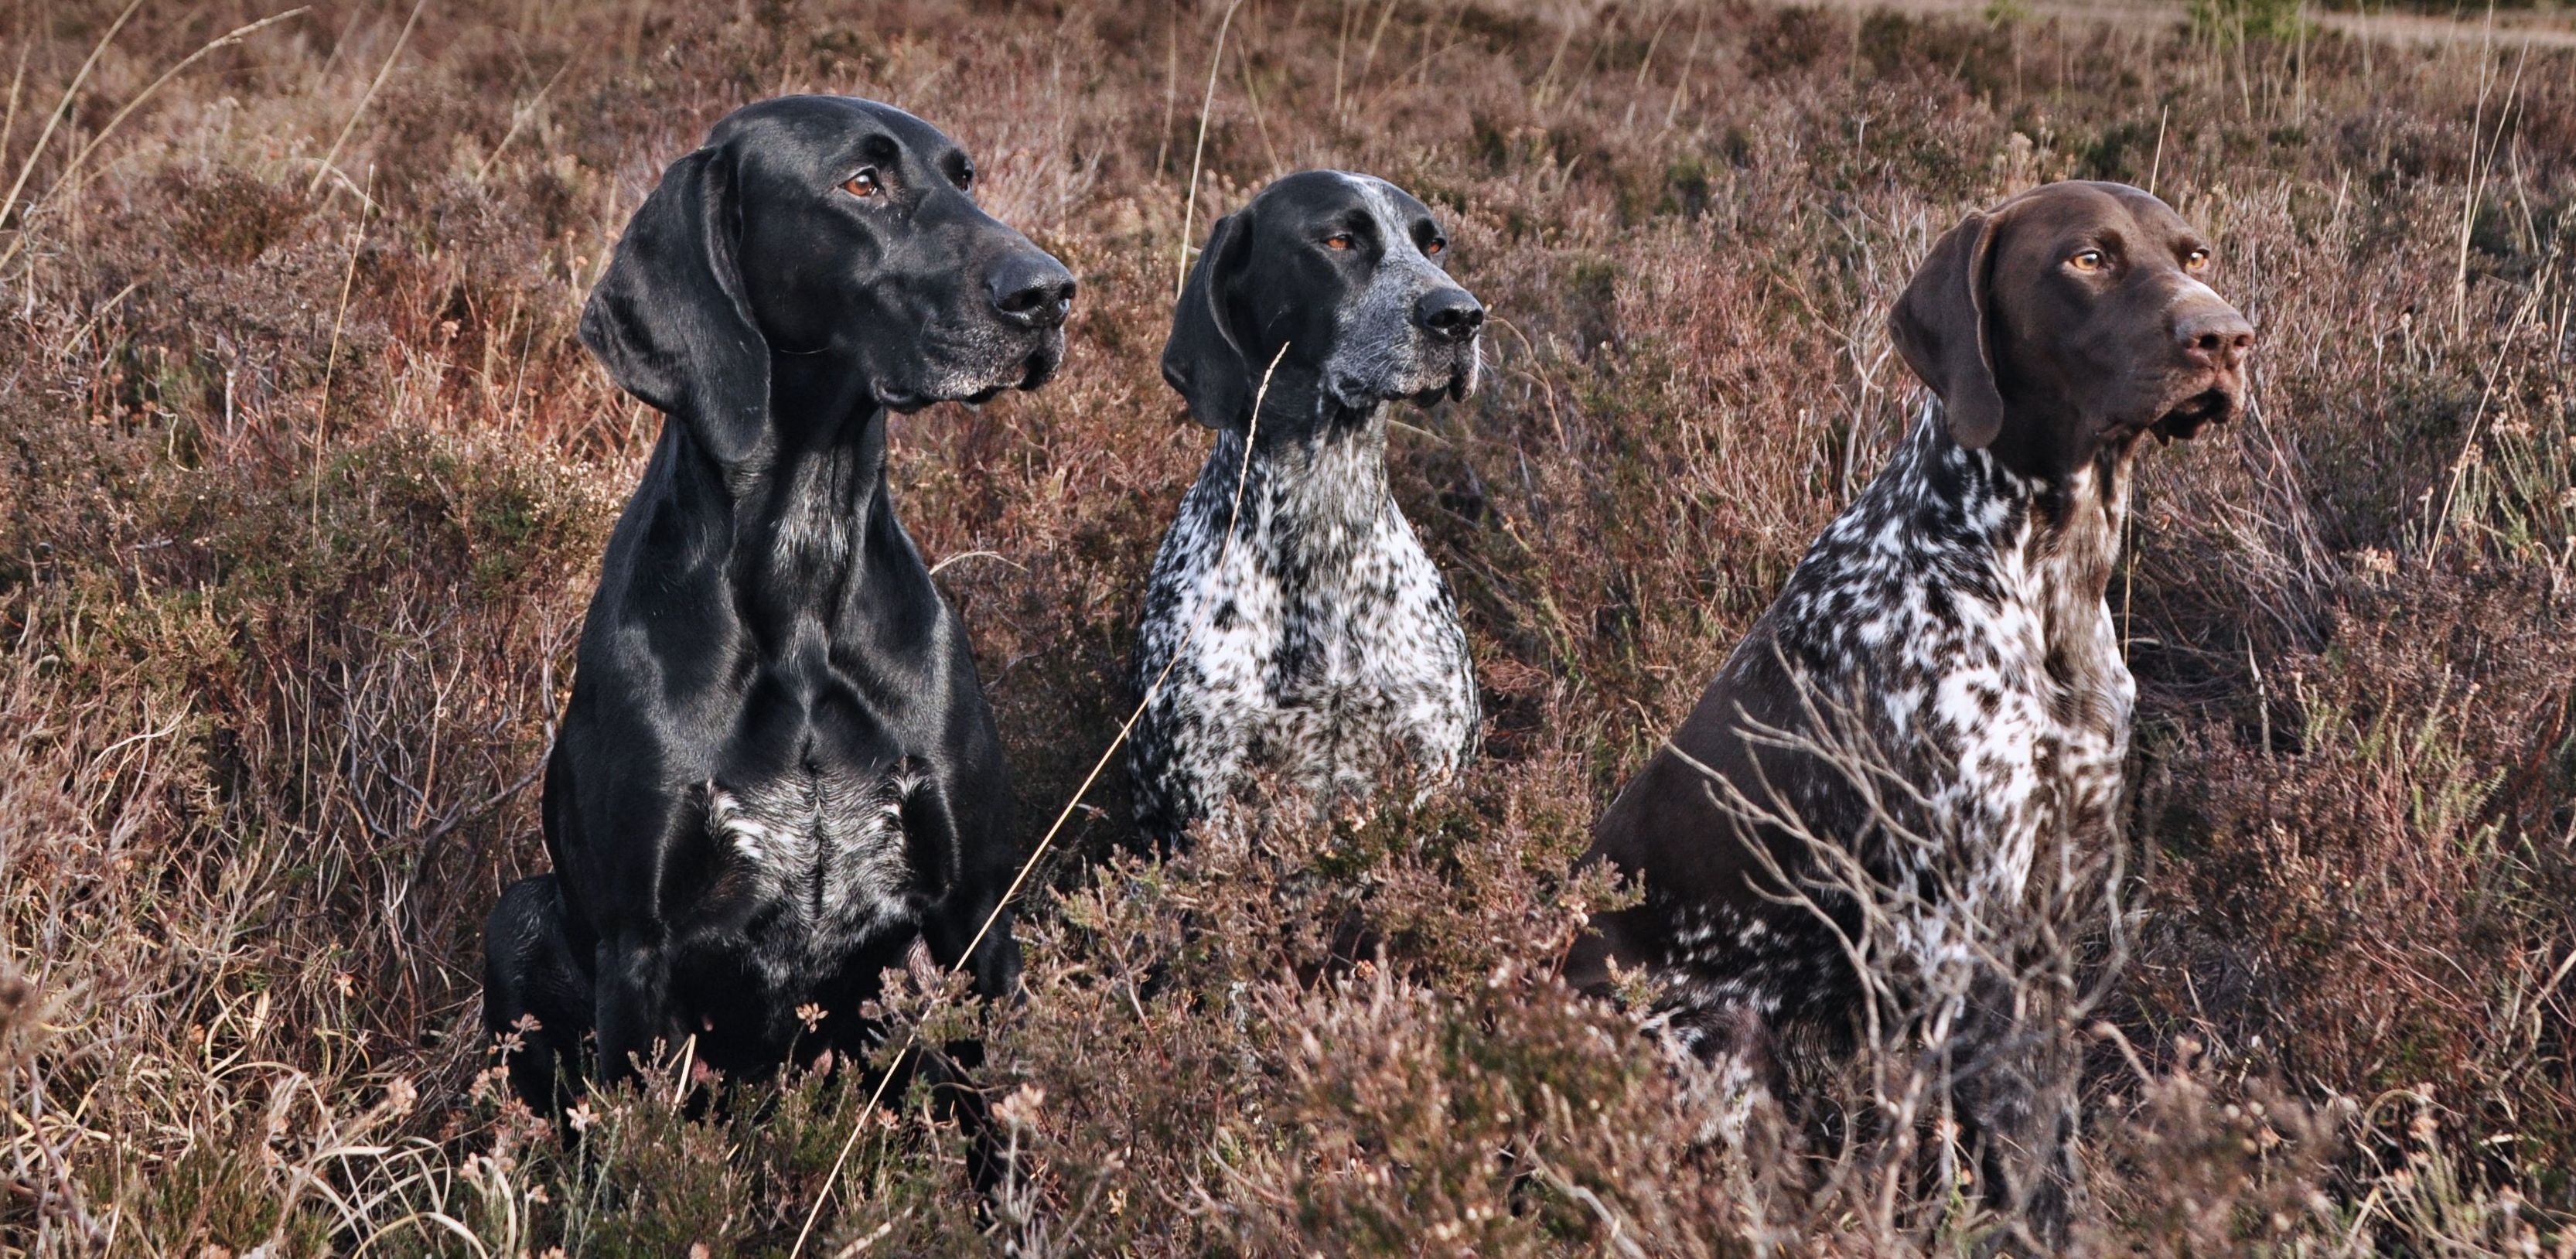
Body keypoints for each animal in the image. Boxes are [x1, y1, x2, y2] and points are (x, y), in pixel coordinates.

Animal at [484, 96, 1076, 1107]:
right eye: (862, 183)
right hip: (516, 914)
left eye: (964, 177)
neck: (804, 567)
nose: (1050, 292)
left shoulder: (977, 914)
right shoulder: (637, 950)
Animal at [1555, 179, 2246, 1215]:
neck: (2040, 575)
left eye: (2193, 255)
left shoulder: (2045, 924)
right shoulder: (1948, 939)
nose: (2226, 335)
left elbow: (2049, 1147)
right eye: (2087, 259)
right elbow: (1955, 1150)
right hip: (1720, 1054)